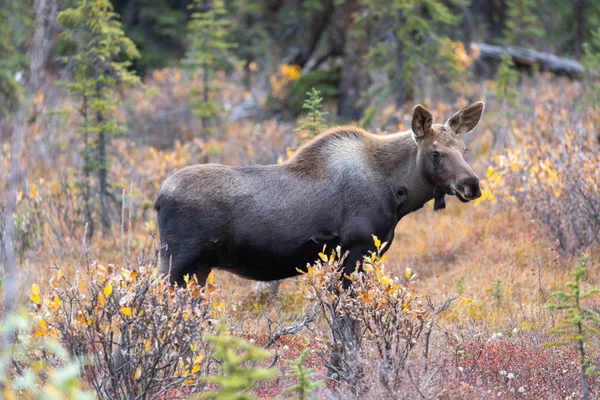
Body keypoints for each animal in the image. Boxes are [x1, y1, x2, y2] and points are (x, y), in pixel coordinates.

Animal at [154, 101, 482, 286]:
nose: (473, 184)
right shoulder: (356, 249)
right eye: (436, 153)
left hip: (198, 268)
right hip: (176, 262)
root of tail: (158, 199)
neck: (397, 192)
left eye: (464, 148)